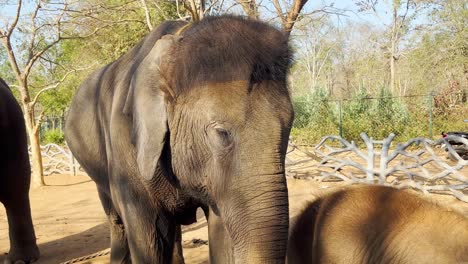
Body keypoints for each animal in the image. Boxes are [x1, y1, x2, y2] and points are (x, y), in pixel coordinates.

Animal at [64, 15, 294, 262]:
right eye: (221, 133)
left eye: (289, 126)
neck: (180, 37)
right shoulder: (125, 147)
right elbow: (148, 239)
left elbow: (221, 233)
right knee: (117, 221)